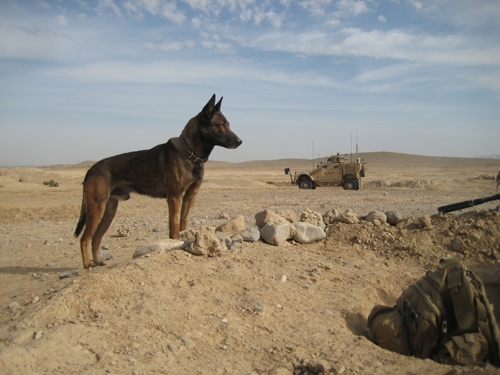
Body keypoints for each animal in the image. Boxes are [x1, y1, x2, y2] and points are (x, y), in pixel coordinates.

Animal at [73, 95, 242, 268]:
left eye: (228, 124)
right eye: (221, 124)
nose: (240, 141)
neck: (190, 153)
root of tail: (91, 170)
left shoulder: (190, 197)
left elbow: (183, 224)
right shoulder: (174, 198)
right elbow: (174, 228)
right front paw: (174, 244)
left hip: (108, 211)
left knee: (96, 238)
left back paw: (98, 261)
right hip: (97, 209)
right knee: (84, 238)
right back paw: (87, 264)